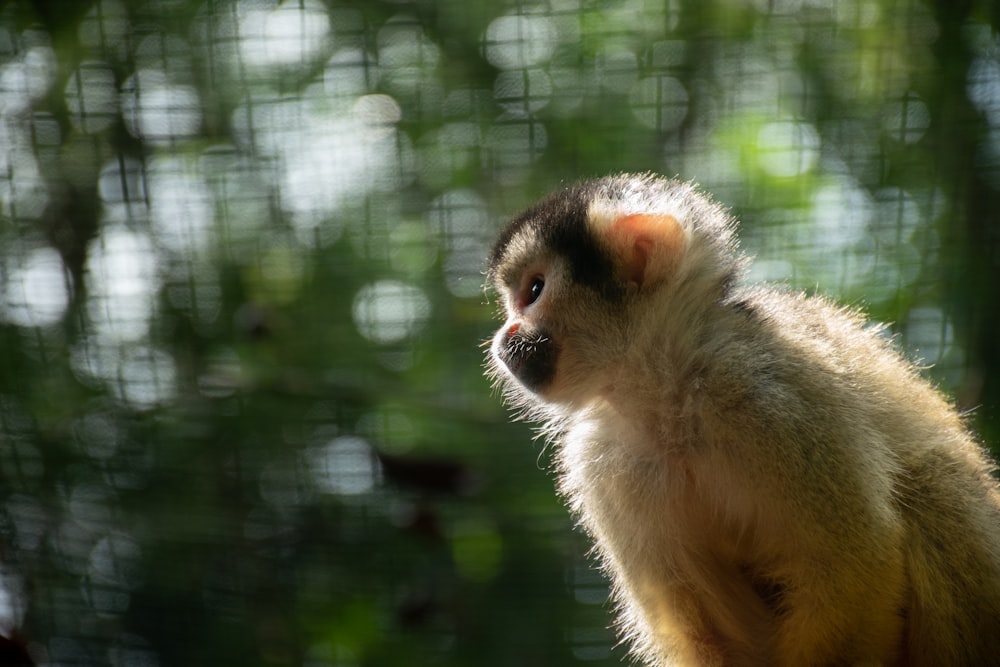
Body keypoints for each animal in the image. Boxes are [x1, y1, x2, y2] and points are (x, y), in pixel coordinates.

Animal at [482, 174, 1000, 667]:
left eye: (533, 291)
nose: (504, 336)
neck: (669, 394)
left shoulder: (769, 398)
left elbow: (853, 560)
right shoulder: (602, 464)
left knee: (933, 483)